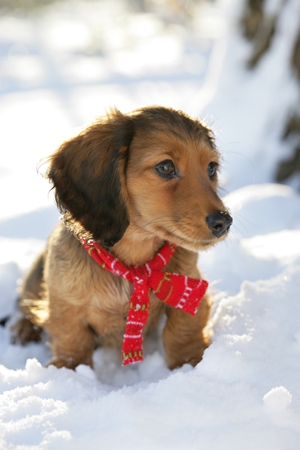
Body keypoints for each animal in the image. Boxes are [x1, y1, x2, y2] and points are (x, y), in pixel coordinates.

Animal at [13, 107, 232, 370]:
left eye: (211, 168)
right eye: (165, 167)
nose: (224, 222)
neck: (134, 266)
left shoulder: (191, 285)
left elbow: (182, 330)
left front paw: (190, 362)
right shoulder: (65, 303)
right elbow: (72, 339)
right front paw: (68, 369)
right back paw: (22, 330)